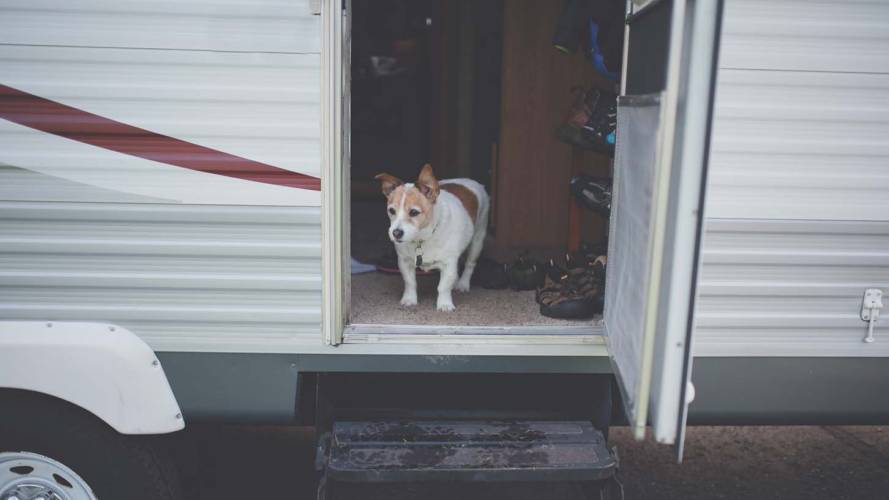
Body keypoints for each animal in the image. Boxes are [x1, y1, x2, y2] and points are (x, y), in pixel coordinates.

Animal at [372, 166, 490, 310]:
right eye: (391, 211)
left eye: (414, 212)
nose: (396, 233)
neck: (422, 239)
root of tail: (470, 181)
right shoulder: (405, 262)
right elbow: (410, 282)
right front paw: (409, 299)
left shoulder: (448, 263)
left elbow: (444, 286)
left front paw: (444, 304)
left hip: (477, 241)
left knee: (470, 264)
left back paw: (463, 283)